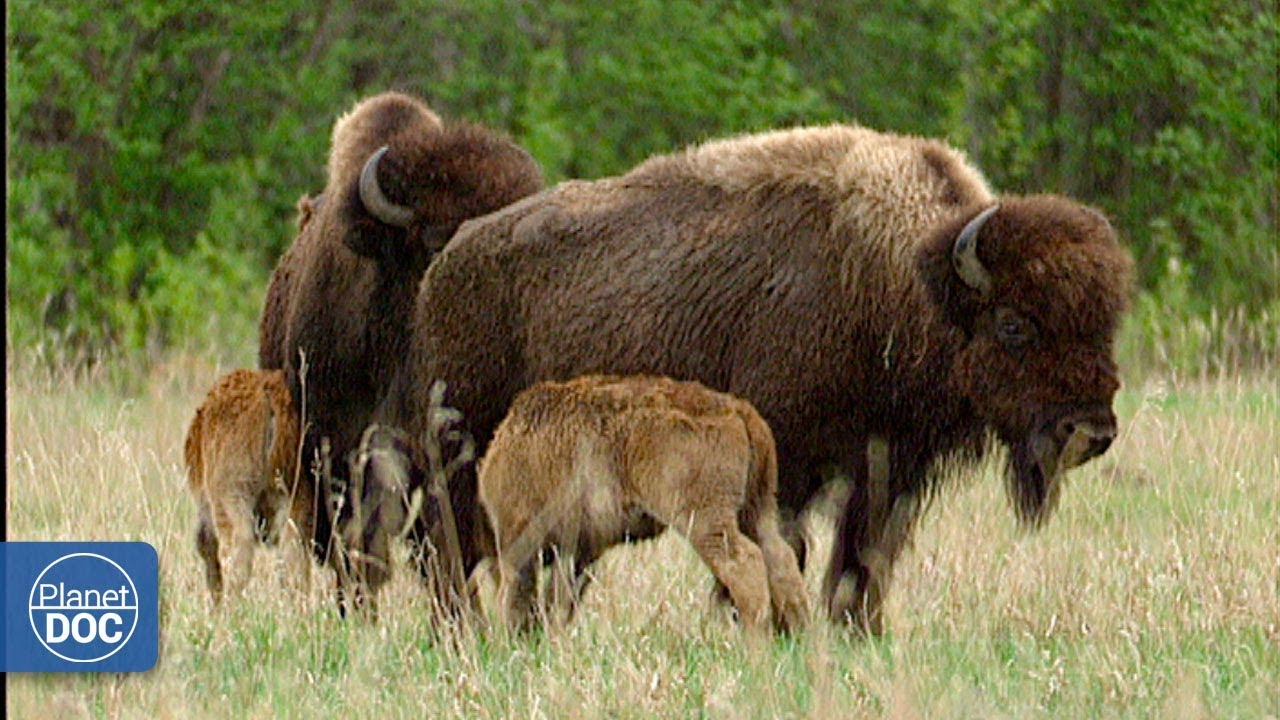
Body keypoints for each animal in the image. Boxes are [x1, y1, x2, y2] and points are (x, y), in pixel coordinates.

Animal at [382, 124, 1133, 631]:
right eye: (1015, 324)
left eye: (1105, 323)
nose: (1090, 431)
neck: (900, 279)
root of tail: (450, 261)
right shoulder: (788, 467)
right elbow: (788, 550)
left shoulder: (888, 475)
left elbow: (862, 562)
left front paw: (855, 634)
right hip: (464, 448)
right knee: (445, 543)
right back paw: (463, 631)